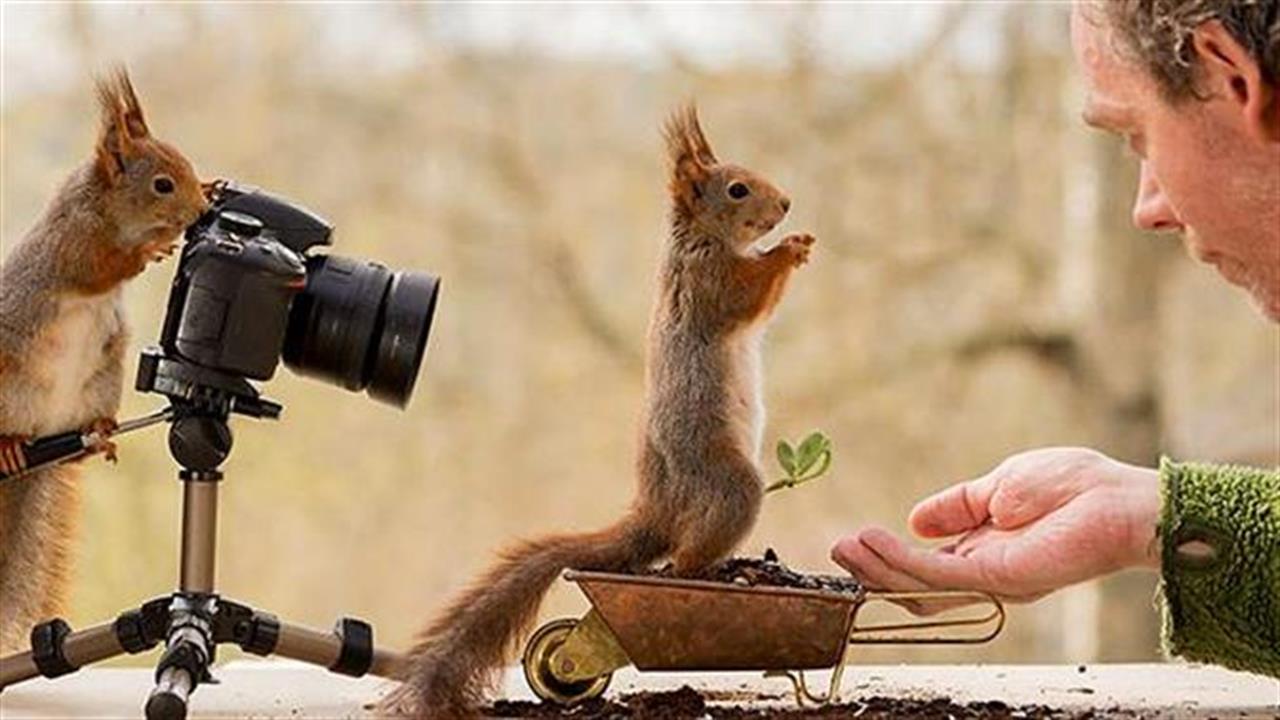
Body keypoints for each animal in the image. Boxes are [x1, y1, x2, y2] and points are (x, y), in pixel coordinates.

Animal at [0, 71, 207, 650]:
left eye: (190, 166)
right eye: (162, 184)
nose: (201, 213)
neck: (107, 208)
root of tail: (42, 434)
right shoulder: (72, 244)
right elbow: (101, 268)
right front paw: (152, 250)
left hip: (101, 382)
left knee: (80, 446)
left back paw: (101, 433)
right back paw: (9, 446)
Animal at [381, 103, 819, 712]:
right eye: (737, 189)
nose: (786, 205)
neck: (701, 238)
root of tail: (656, 509)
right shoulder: (705, 282)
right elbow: (746, 297)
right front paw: (788, 249)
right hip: (728, 485)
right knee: (683, 559)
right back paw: (723, 572)